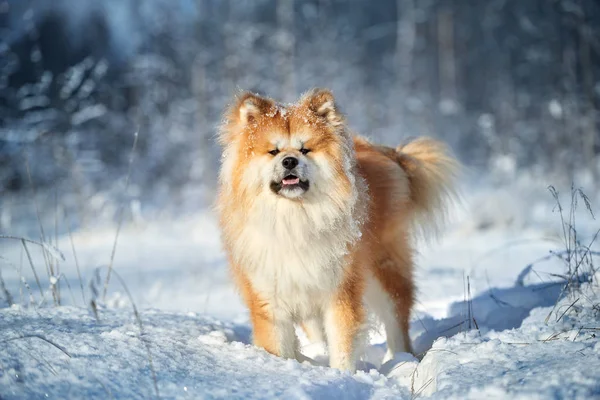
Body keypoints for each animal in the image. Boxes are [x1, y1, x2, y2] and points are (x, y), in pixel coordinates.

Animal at [217, 89, 460, 370]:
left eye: (305, 149)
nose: (289, 161)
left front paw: (342, 373)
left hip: (383, 268)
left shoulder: (340, 289)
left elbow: (342, 342)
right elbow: (278, 344)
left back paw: (400, 360)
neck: (295, 217)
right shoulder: (270, 294)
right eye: (273, 151)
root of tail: (379, 149)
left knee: (396, 317)